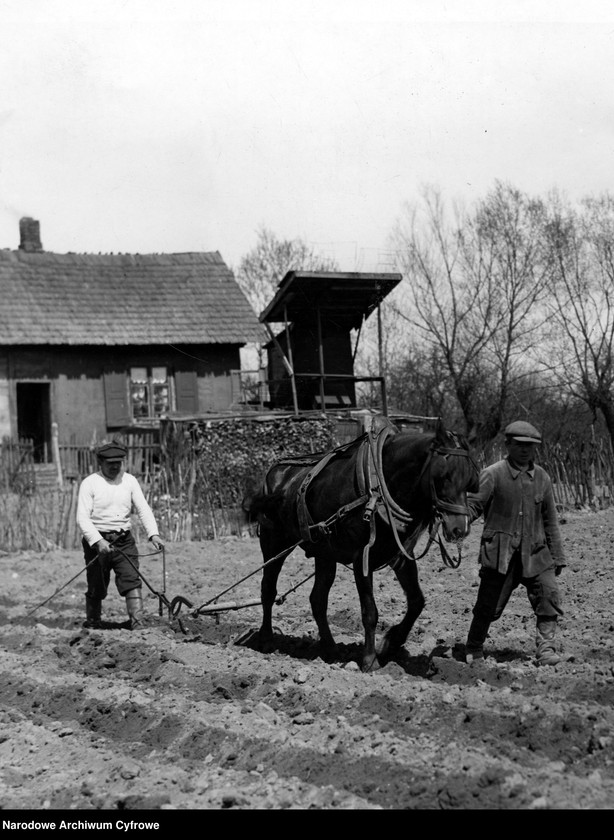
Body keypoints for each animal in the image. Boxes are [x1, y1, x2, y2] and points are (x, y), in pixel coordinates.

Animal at [245, 416, 482, 672]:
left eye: (471, 479)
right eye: (443, 475)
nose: (460, 528)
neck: (381, 483)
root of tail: (276, 473)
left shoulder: (400, 556)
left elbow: (417, 602)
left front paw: (390, 643)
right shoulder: (362, 559)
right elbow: (370, 612)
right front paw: (370, 660)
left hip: (324, 553)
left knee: (318, 599)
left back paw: (330, 649)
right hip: (274, 542)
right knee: (268, 589)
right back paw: (266, 639)